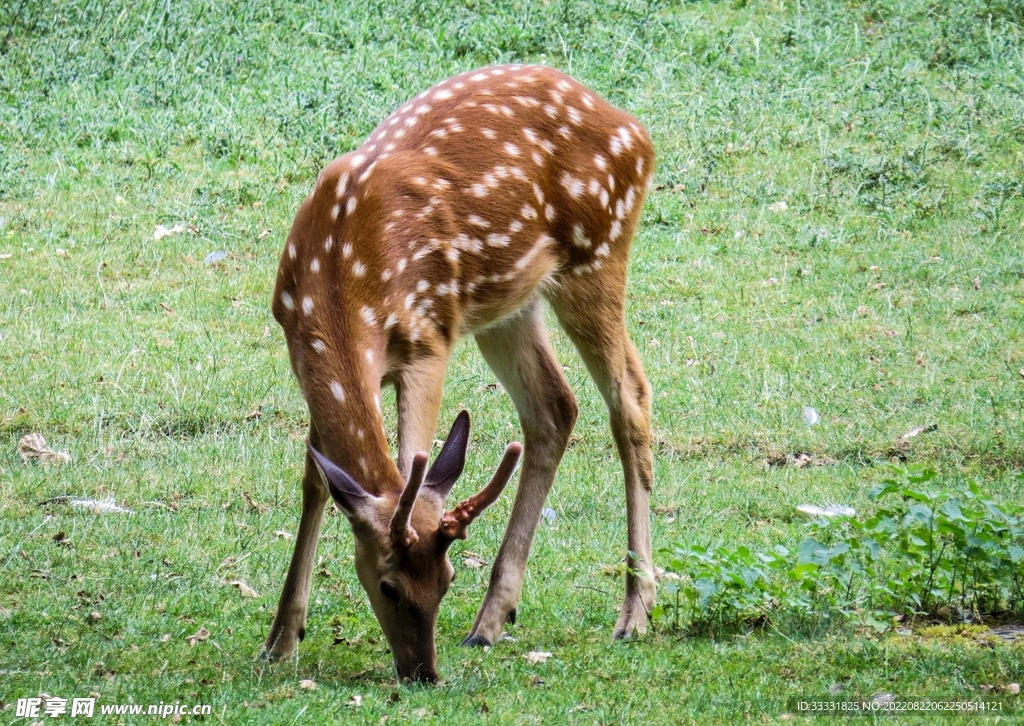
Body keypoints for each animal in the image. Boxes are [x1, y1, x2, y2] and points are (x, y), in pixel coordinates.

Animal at [264, 64, 656, 683]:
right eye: (389, 586)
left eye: (446, 580)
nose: (423, 672)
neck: (340, 289)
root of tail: (636, 132)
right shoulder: (300, 351)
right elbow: (316, 481)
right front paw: (280, 640)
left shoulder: (428, 340)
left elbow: (409, 461)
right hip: (509, 304)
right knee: (555, 406)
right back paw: (491, 620)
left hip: (596, 254)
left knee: (630, 399)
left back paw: (635, 612)